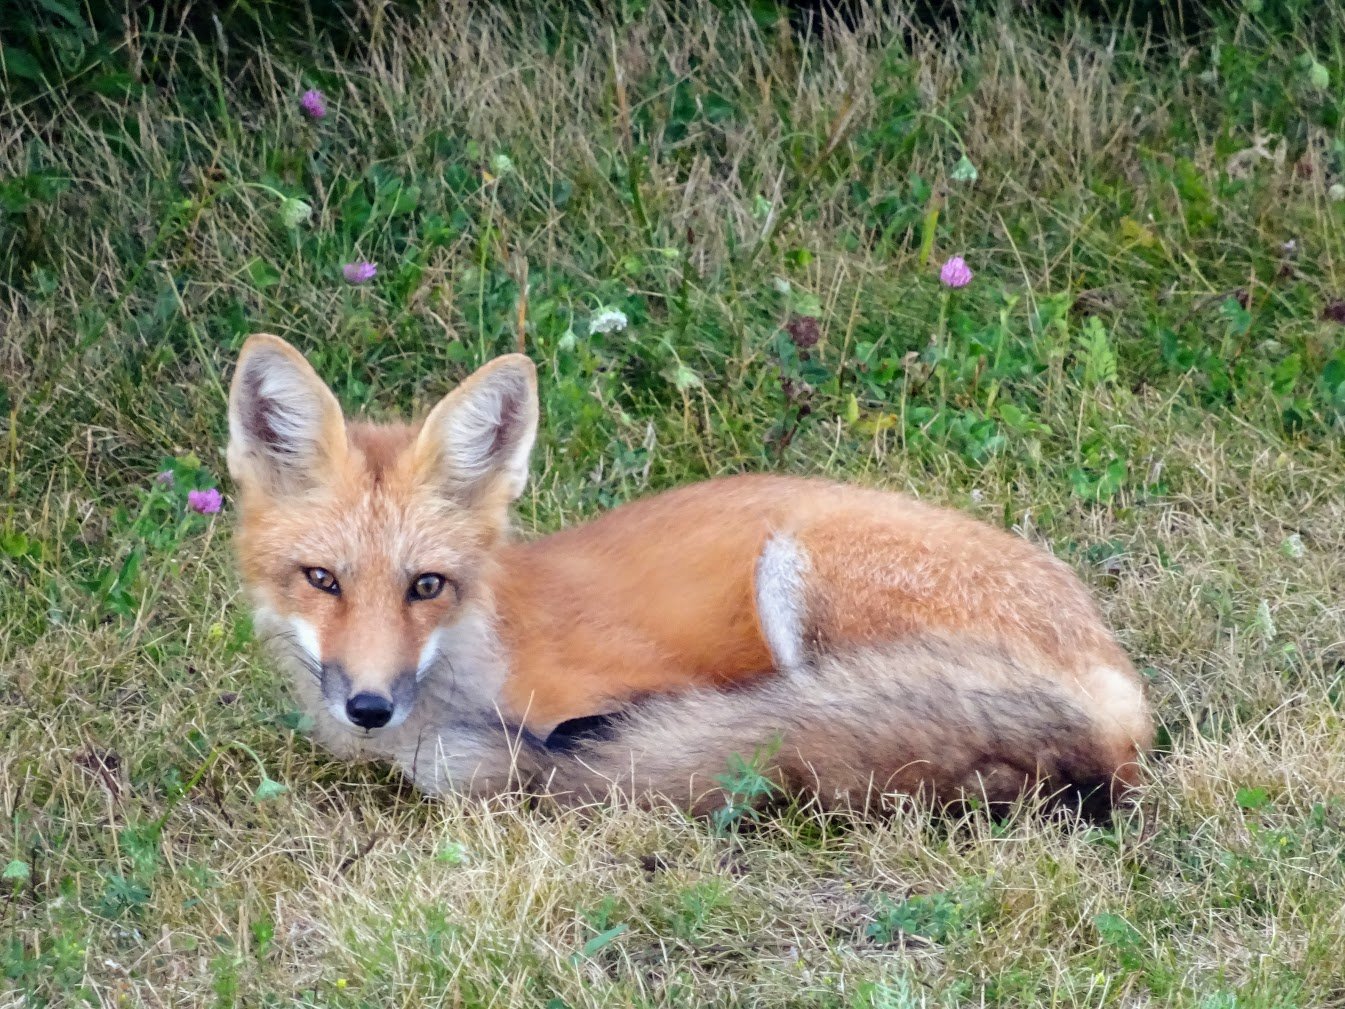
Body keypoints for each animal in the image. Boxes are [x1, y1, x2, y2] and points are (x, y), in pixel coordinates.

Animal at [227, 333, 1153, 817]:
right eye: (321, 578)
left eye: (426, 584)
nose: (369, 707)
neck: (477, 654)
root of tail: (1118, 688)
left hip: (795, 571)